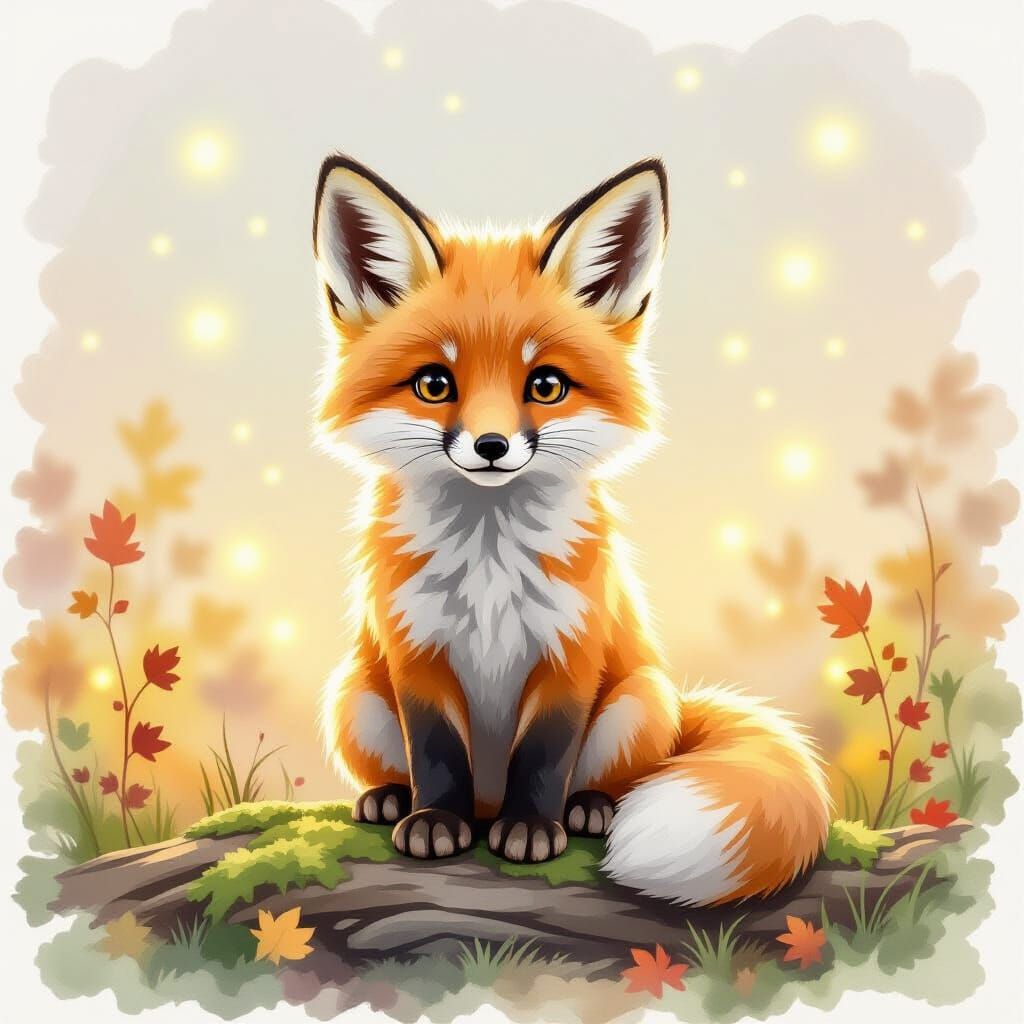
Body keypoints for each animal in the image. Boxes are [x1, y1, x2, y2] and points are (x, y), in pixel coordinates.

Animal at [313, 153, 830, 906]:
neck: (489, 564)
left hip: (639, 703)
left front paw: (533, 830)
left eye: (547, 385)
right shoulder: (416, 650)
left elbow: (543, 755)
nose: (492, 446)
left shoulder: (571, 649)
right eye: (435, 384)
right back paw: (390, 799)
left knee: (608, 778)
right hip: (353, 697)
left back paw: (589, 808)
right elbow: (436, 752)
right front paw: (435, 821)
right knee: (402, 769)